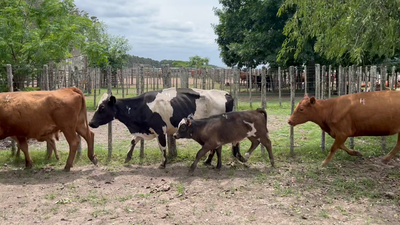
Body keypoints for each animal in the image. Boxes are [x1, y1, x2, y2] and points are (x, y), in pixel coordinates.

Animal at [89, 88, 239, 169]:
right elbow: (133, 141)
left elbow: (162, 147)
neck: (141, 106)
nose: (90, 122)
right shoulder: (142, 130)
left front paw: (163, 163)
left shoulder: (160, 130)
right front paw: (127, 158)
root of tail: (226, 94)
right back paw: (208, 161)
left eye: (102, 108)